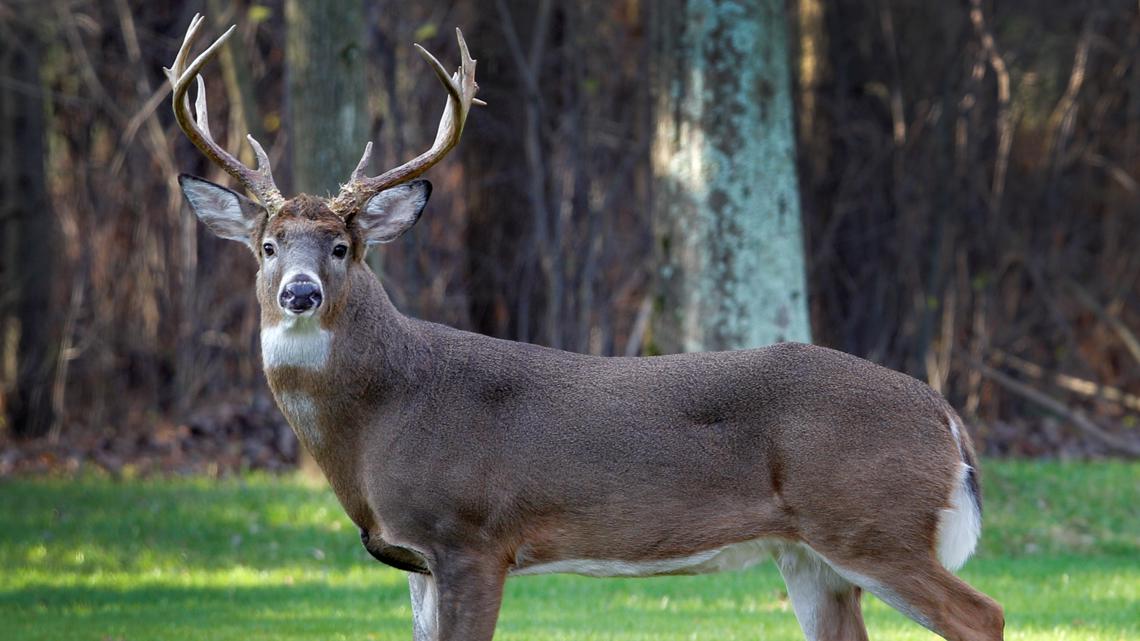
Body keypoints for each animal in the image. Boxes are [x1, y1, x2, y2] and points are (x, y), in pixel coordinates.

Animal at [168, 14, 1007, 638]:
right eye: (268, 246)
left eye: (343, 247)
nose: (301, 292)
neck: (381, 417)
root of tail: (946, 415)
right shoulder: (418, 560)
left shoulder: (472, 535)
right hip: (812, 555)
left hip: (871, 522)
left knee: (985, 614)